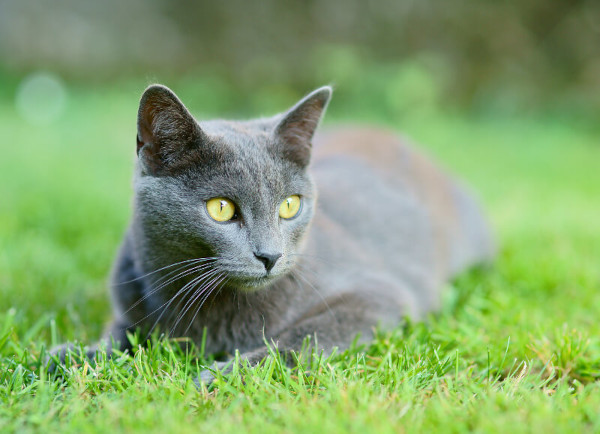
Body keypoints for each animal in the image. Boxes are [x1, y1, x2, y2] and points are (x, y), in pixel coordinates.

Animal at [52, 85, 492, 384]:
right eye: (221, 208)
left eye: (290, 205)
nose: (270, 256)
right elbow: (122, 332)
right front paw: (75, 355)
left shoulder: (378, 295)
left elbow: (302, 337)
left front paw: (223, 375)